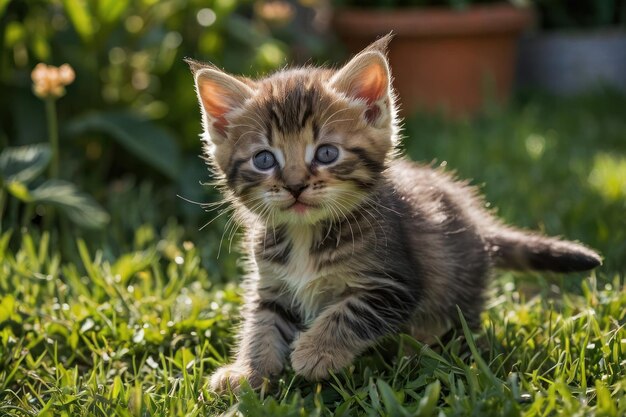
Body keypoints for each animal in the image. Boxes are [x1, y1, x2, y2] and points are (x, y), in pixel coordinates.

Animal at [186, 35, 600, 390]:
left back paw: (425, 345)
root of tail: (479, 222)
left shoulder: (393, 283)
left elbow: (349, 314)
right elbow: (261, 324)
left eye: (326, 153)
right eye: (264, 159)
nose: (295, 185)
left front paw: (315, 352)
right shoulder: (271, 284)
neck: (307, 233)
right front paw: (248, 372)